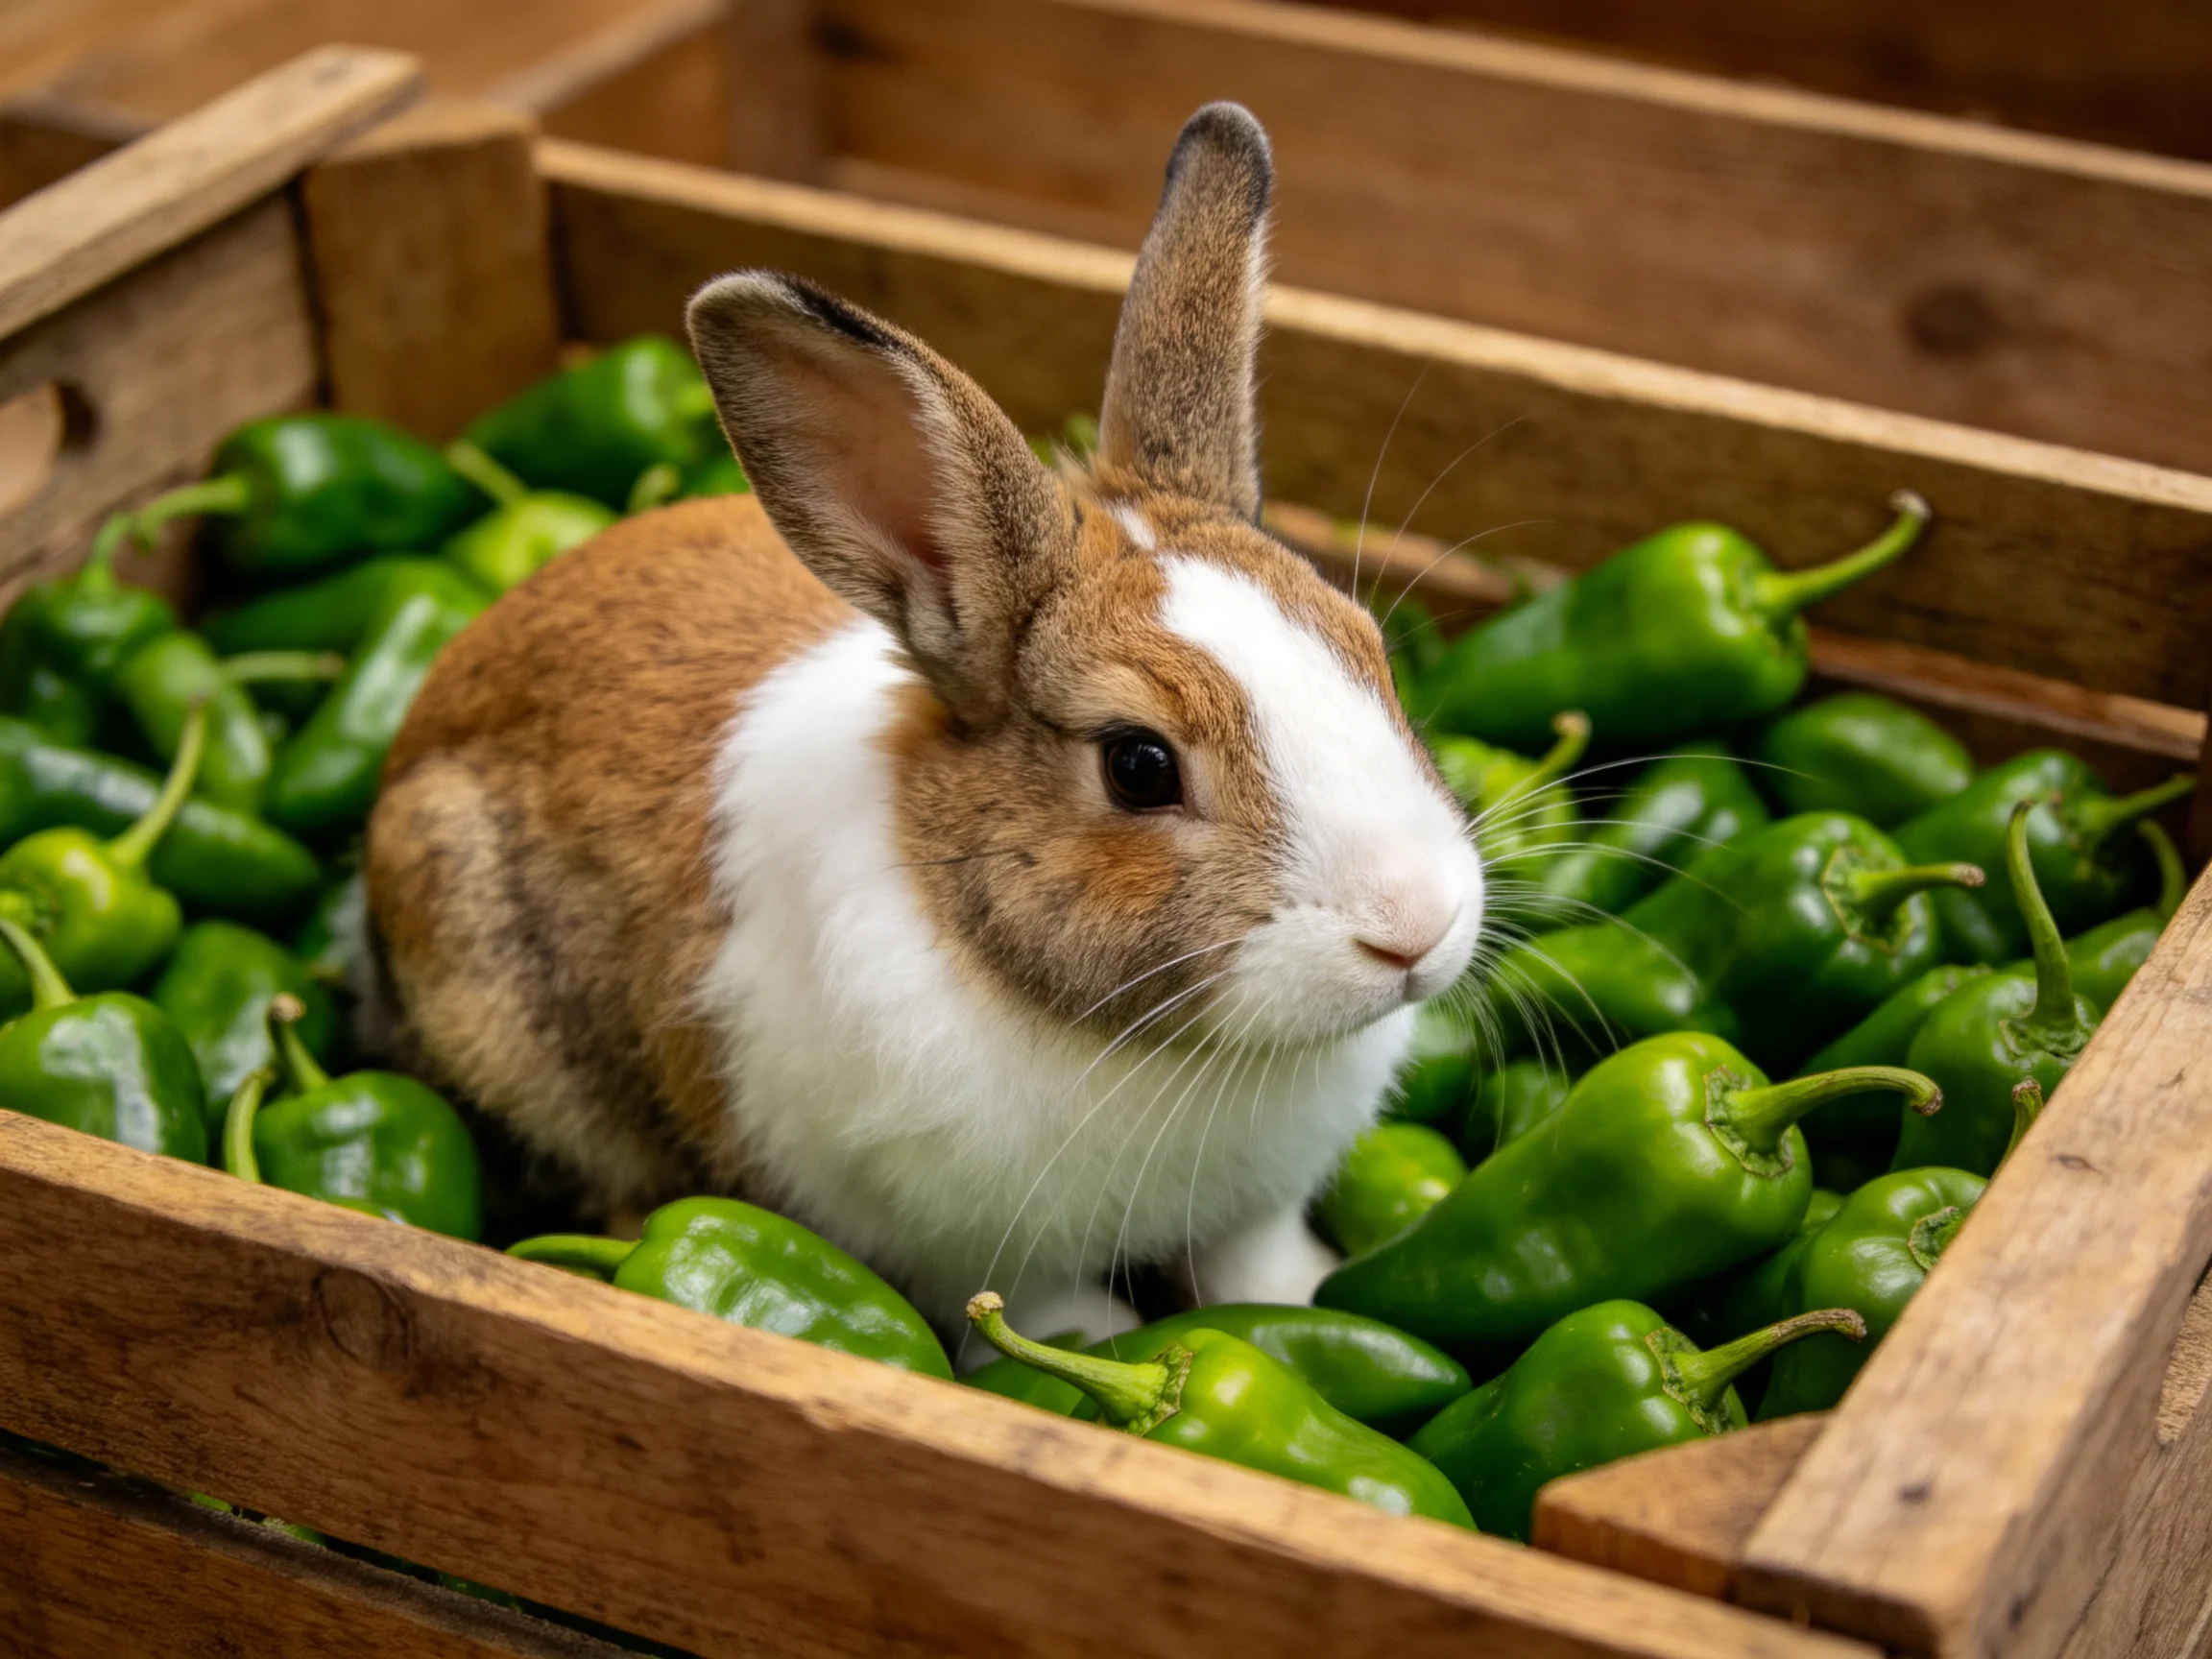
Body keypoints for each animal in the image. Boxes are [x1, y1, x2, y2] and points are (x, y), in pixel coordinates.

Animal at [364, 102, 1485, 1344]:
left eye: (1372, 654)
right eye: (1139, 765)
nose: (1414, 928)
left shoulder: (1255, 1214)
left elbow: (1265, 1275)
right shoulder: (986, 1263)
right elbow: (1063, 1328)